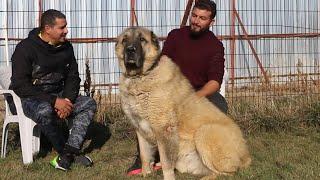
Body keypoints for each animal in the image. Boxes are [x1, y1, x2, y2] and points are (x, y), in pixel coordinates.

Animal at [116, 27, 251, 179]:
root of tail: (246, 155)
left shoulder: (164, 129)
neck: (140, 77)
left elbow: (166, 162)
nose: (130, 50)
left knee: (227, 172)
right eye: (124, 40)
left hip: (204, 132)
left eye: (141, 39)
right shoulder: (140, 127)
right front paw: (146, 173)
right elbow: (145, 155)